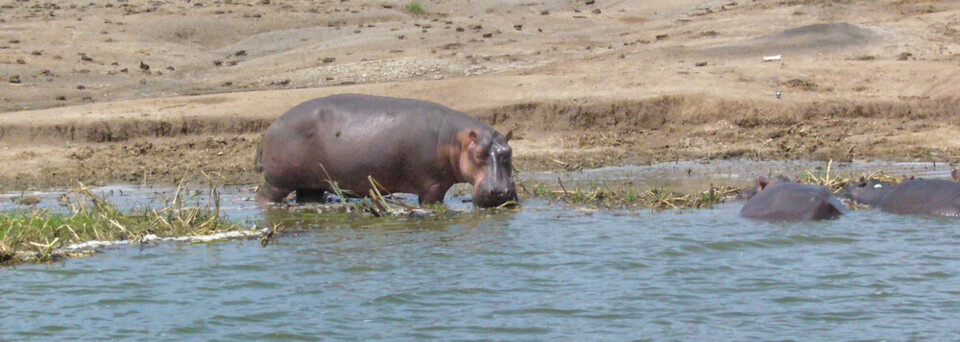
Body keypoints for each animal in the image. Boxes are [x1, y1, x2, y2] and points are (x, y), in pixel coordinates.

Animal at [255, 92, 516, 207]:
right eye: (479, 154)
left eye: (509, 153)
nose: (501, 192)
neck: (454, 140)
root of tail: (270, 128)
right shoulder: (432, 186)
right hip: (277, 181)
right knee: (263, 196)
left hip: (311, 185)